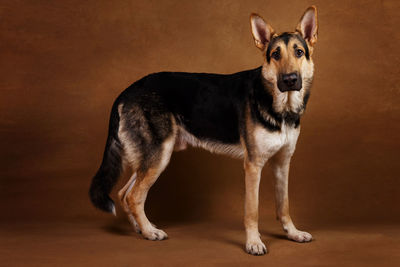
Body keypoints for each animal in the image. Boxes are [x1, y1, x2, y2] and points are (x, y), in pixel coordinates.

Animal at [90, 6, 318, 256]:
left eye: (299, 52)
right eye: (276, 55)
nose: (289, 80)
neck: (280, 107)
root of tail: (126, 92)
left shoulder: (282, 163)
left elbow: (284, 205)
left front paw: (292, 233)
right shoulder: (253, 166)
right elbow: (252, 210)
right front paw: (254, 242)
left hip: (151, 158)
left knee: (123, 194)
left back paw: (141, 229)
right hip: (158, 156)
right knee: (133, 196)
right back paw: (150, 232)